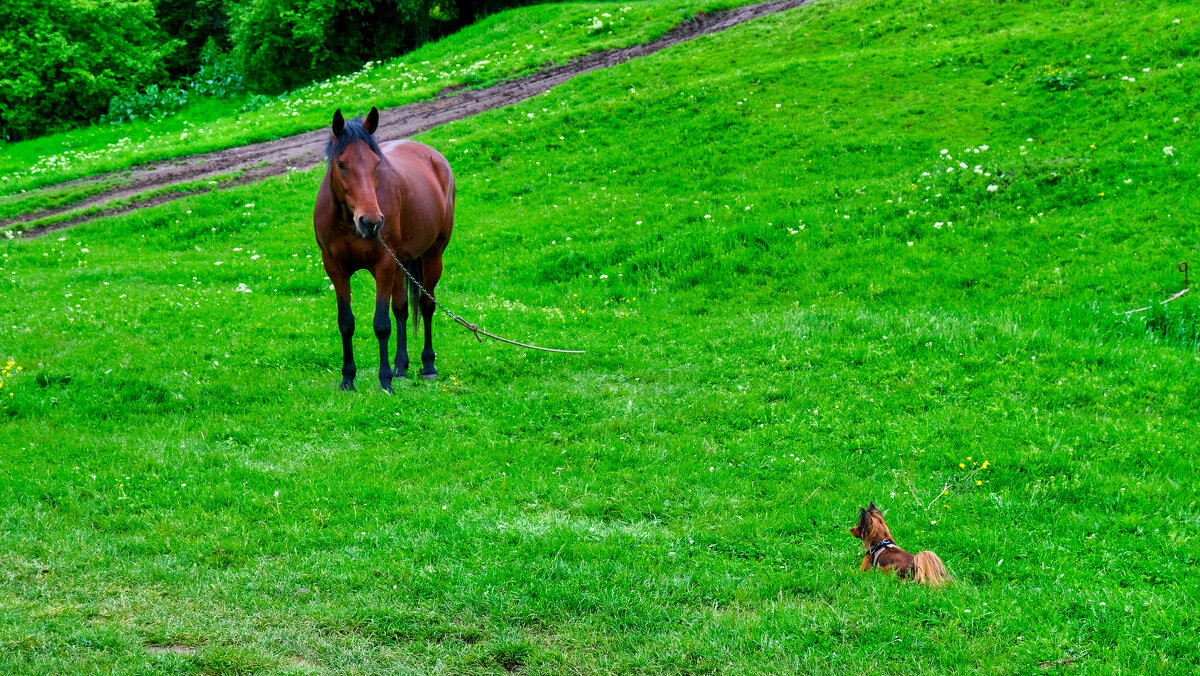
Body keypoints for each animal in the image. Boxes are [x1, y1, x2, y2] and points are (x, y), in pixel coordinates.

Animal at [314, 105, 453, 391]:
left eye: (376, 164)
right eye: (341, 164)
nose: (371, 221)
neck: (347, 223)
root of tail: (435, 157)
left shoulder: (383, 265)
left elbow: (381, 324)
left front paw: (385, 380)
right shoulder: (335, 268)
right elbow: (346, 322)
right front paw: (348, 379)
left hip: (432, 256)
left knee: (426, 305)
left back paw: (427, 366)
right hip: (400, 263)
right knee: (401, 308)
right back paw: (401, 367)